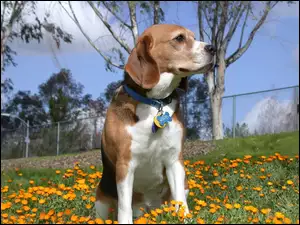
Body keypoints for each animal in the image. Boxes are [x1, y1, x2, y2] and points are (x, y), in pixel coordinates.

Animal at [95, 23, 214, 223]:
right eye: (179, 38)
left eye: (193, 36)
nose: (213, 48)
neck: (154, 103)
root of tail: (150, 209)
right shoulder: (125, 165)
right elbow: (124, 207)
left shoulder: (174, 160)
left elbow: (181, 202)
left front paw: (185, 218)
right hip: (101, 199)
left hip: (184, 183)